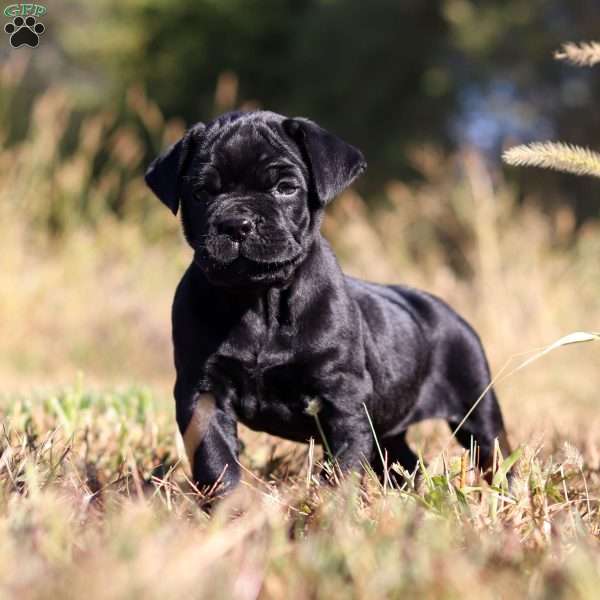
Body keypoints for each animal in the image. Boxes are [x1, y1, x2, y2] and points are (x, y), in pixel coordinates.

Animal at [145, 110, 510, 494]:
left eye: (285, 188)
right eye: (201, 192)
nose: (236, 224)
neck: (260, 301)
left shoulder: (342, 396)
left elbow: (343, 463)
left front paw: (328, 504)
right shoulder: (203, 392)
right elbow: (215, 457)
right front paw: (230, 502)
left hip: (476, 408)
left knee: (495, 454)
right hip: (390, 433)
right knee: (405, 462)